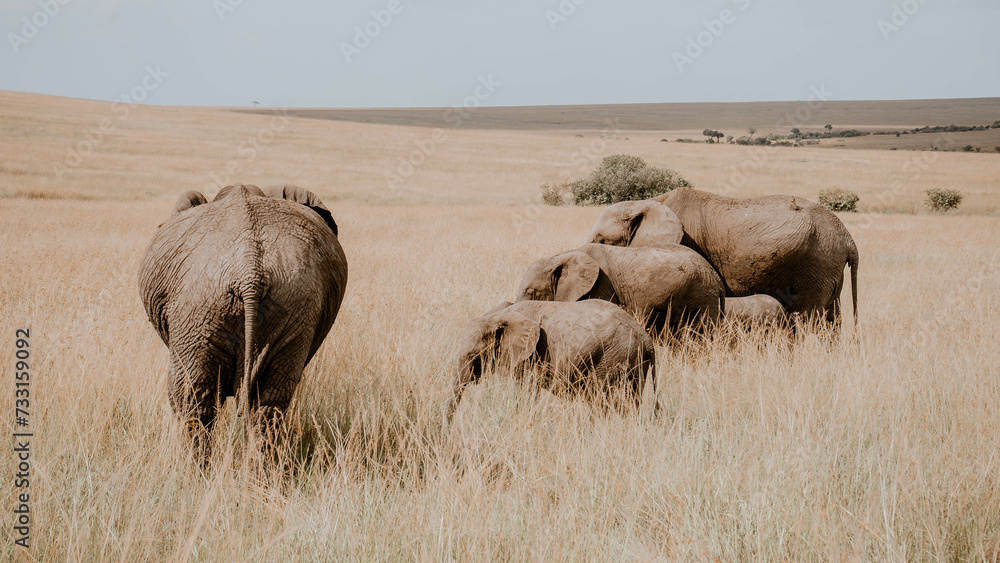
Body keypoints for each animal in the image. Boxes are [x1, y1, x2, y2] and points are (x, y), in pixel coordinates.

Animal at [450, 299, 655, 416]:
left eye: (473, 355)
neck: (498, 316)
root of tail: (646, 339)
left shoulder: (532, 356)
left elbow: (527, 390)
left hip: (613, 358)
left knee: (603, 400)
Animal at [589, 187, 858, 323]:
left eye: (602, 240)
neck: (648, 202)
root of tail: (848, 239)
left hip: (817, 264)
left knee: (809, 318)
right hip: (829, 268)